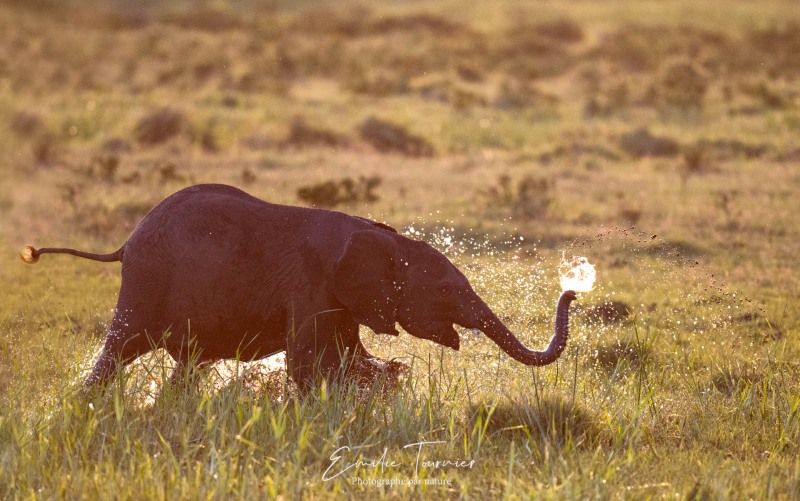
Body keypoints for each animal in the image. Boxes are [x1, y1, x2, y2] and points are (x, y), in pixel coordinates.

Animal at [21, 185, 580, 390]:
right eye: (444, 290)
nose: (573, 290)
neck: (375, 235)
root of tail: (125, 243)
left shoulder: (342, 301)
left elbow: (350, 358)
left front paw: (390, 376)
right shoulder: (312, 286)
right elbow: (308, 364)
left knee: (188, 365)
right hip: (146, 284)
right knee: (118, 351)